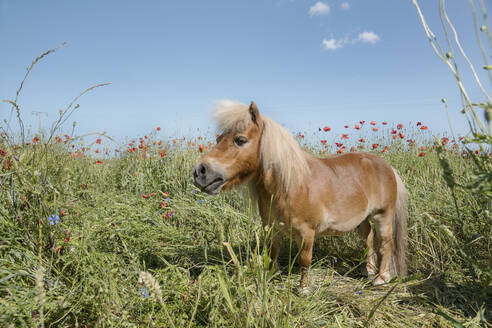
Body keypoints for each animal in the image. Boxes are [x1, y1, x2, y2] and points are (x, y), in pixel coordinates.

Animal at [192, 100, 408, 292]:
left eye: (240, 140)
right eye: (218, 139)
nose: (200, 172)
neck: (290, 186)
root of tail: (387, 166)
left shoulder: (306, 233)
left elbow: (304, 260)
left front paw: (303, 289)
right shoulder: (272, 229)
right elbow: (272, 253)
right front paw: (271, 276)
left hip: (382, 215)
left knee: (386, 244)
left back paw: (381, 278)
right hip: (361, 220)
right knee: (368, 239)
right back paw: (367, 270)